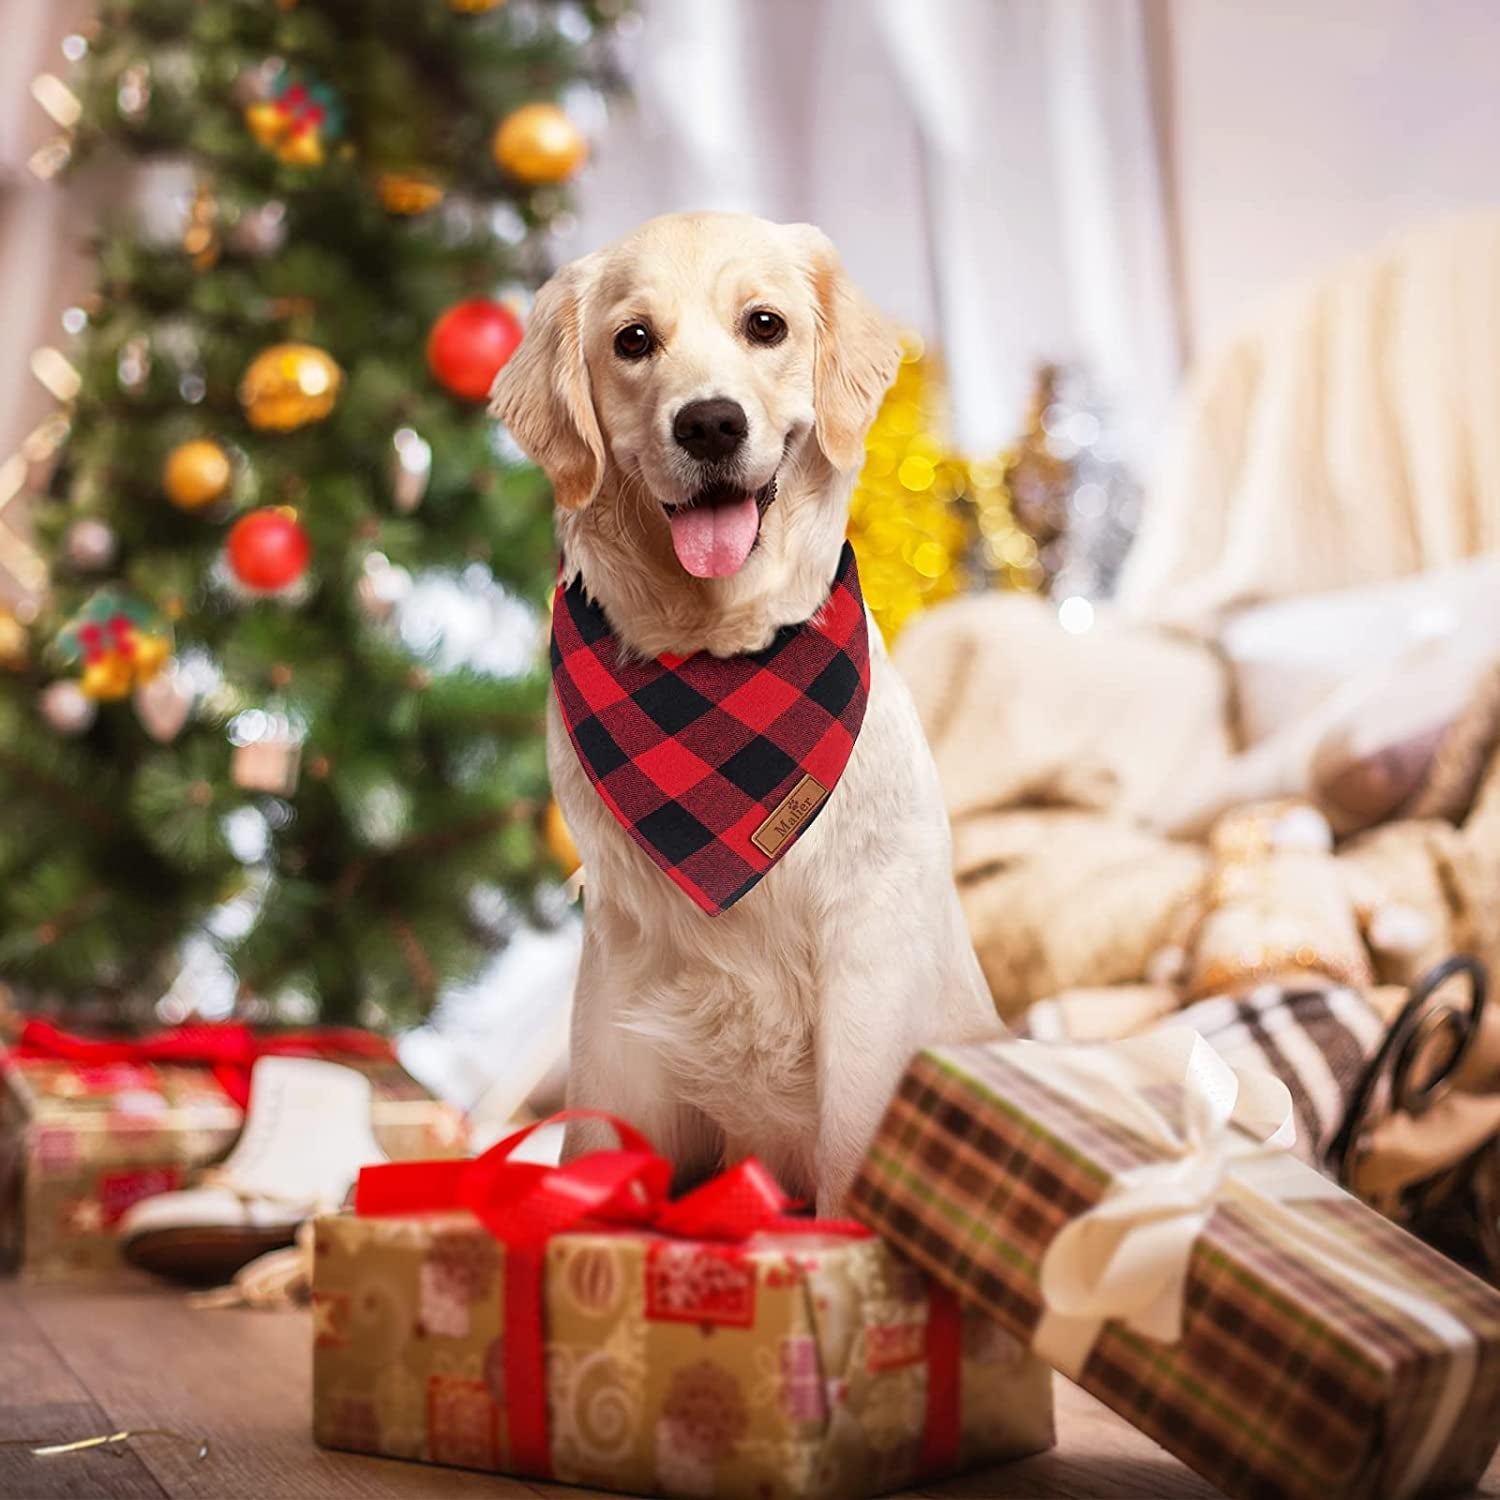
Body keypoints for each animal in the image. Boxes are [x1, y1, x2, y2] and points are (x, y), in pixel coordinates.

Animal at [492, 217, 1002, 1212]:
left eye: (765, 324)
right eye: (633, 340)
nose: (710, 422)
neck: (718, 664)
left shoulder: (867, 965)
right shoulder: (619, 988)